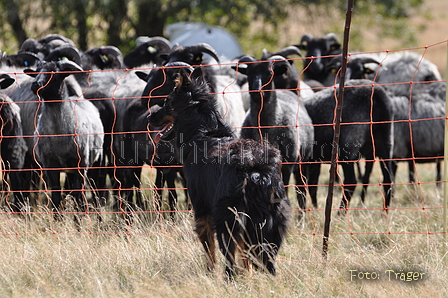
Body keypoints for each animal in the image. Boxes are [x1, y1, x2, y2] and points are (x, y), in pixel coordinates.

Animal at [149, 66, 292, 278]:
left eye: (167, 102)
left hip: (227, 218)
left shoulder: (202, 210)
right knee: (265, 261)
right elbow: (245, 259)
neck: (204, 133)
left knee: (230, 263)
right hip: (272, 221)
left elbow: (209, 250)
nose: (149, 117)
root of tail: (255, 170)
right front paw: (248, 277)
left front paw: (209, 274)